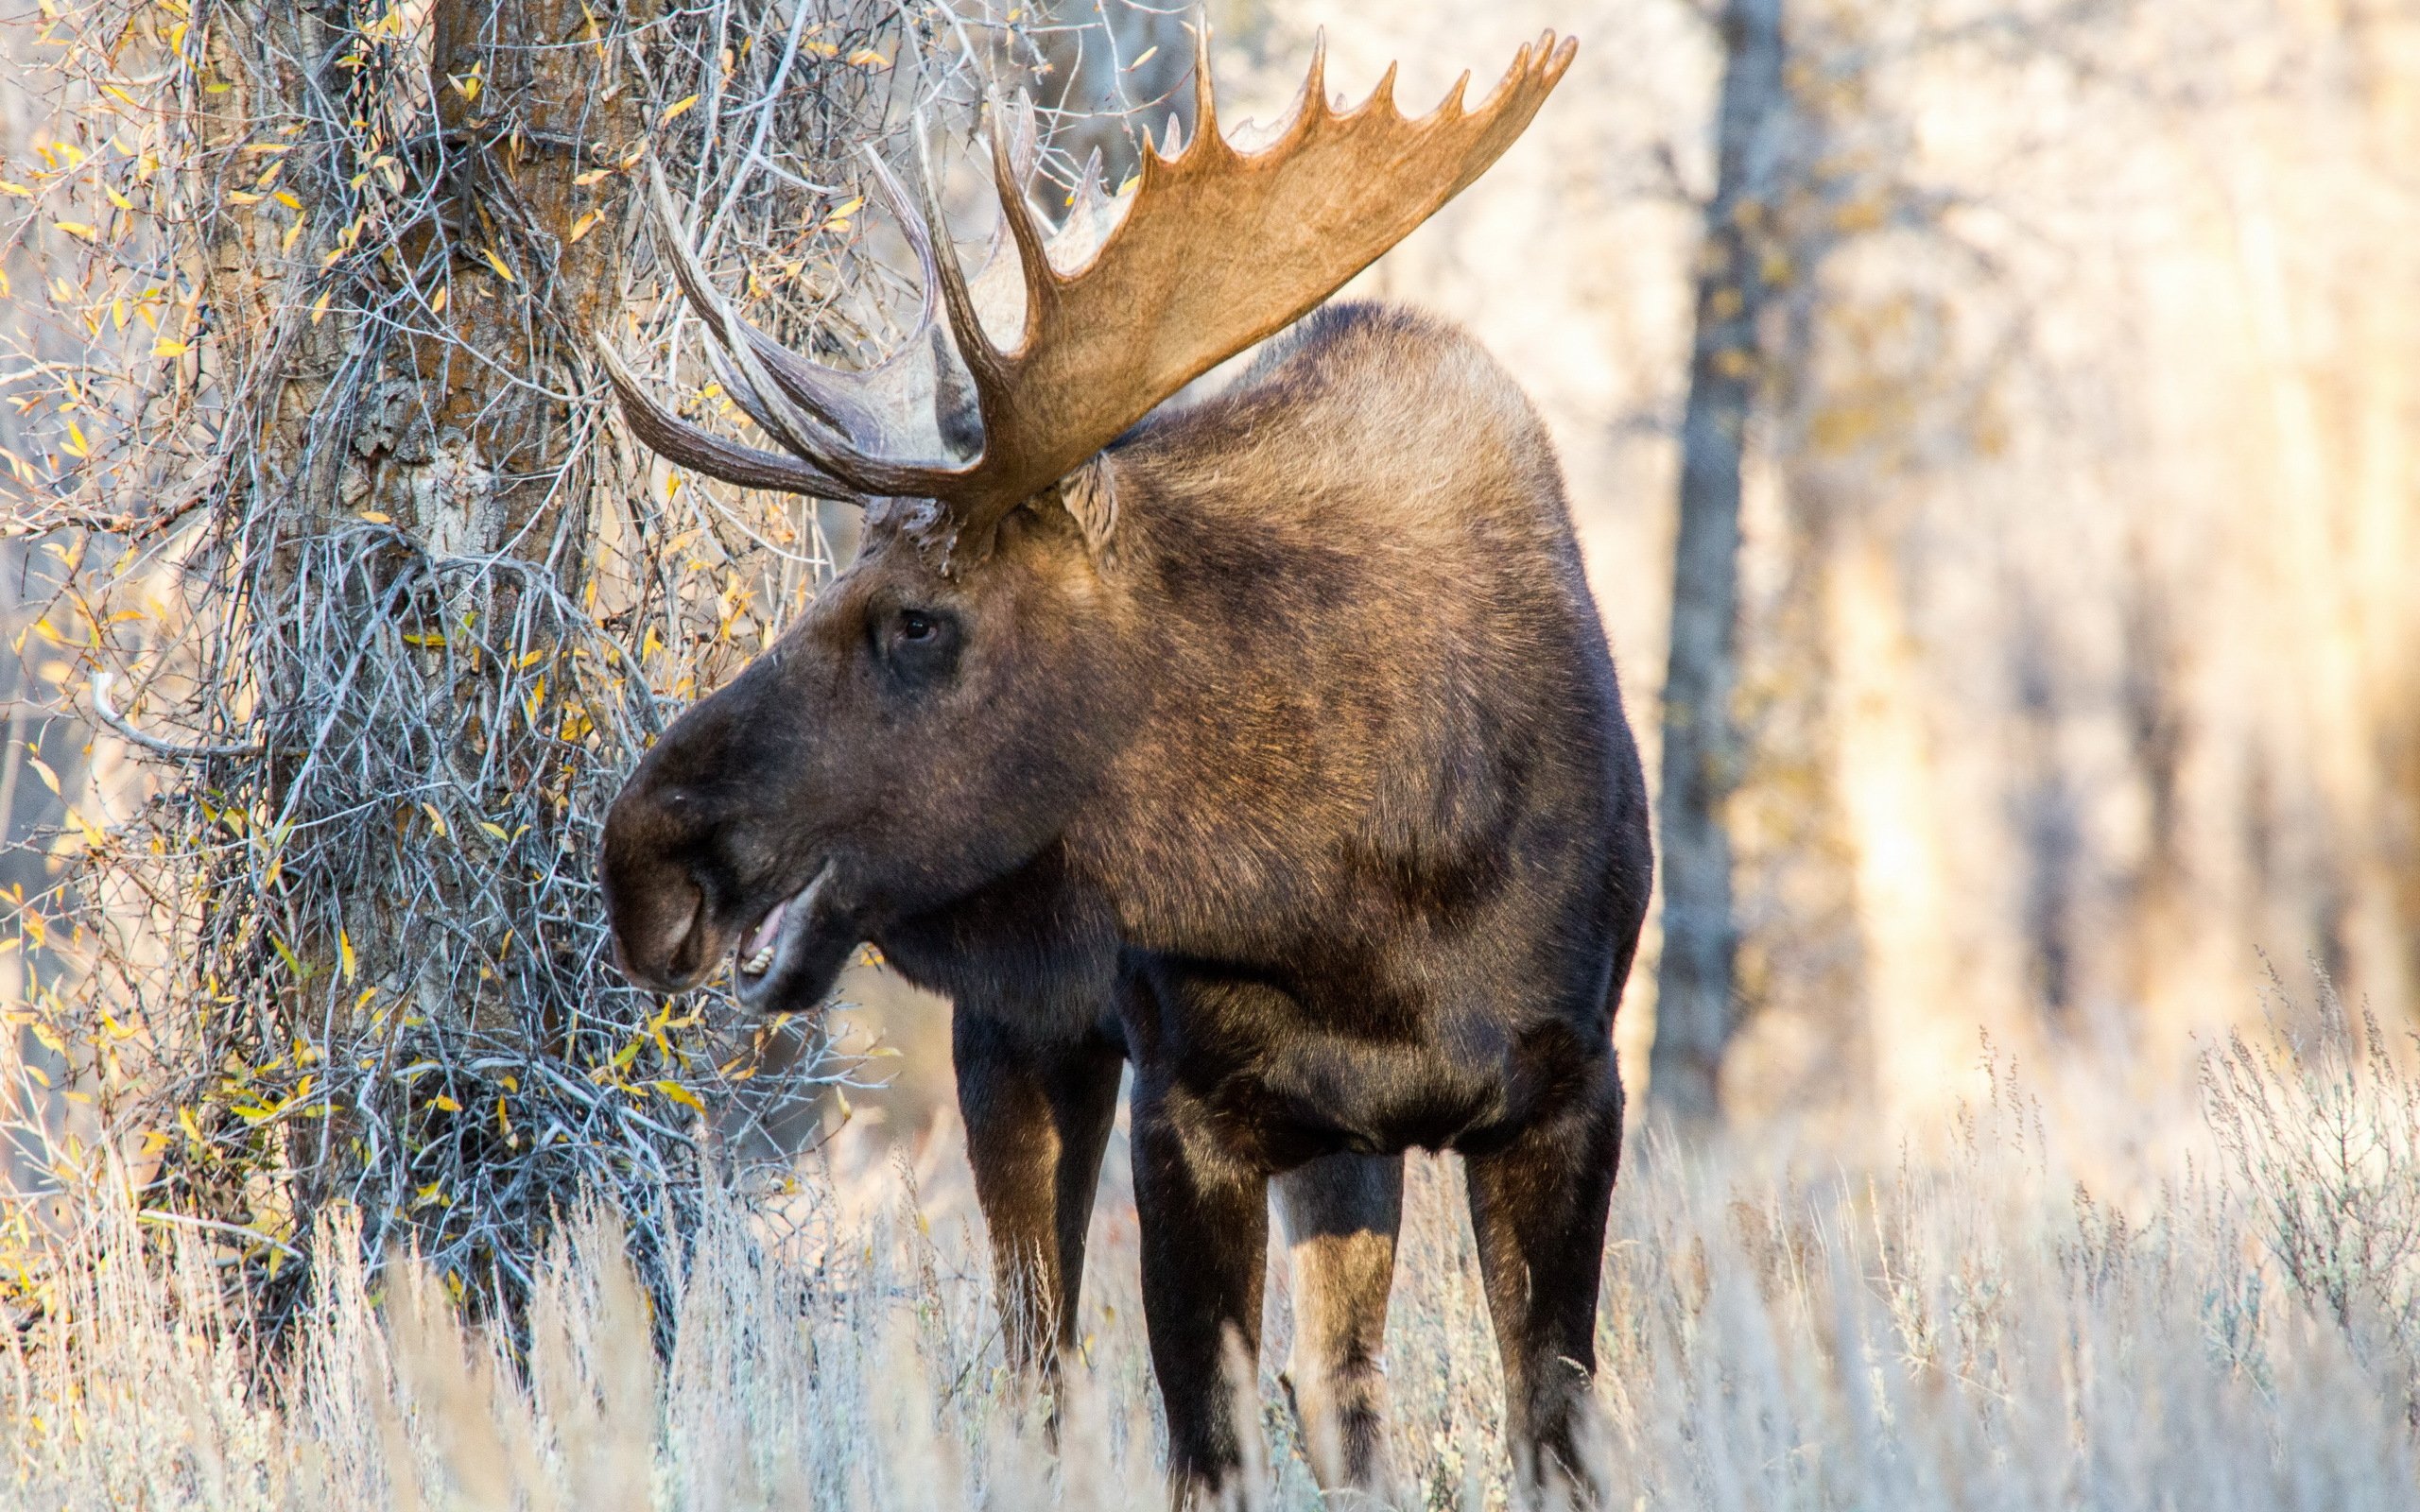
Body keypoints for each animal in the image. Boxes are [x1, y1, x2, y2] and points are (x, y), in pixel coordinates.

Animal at [590, 29, 1645, 1500]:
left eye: (917, 617)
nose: (645, 857)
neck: (1368, 902)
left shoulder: (1571, 1088)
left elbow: (1543, 1427)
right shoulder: (1186, 1099)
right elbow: (1203, 1437)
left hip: (1339, 1143)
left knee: (1337, 1390)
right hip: (1026, 1040)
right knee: (1041, 1365)